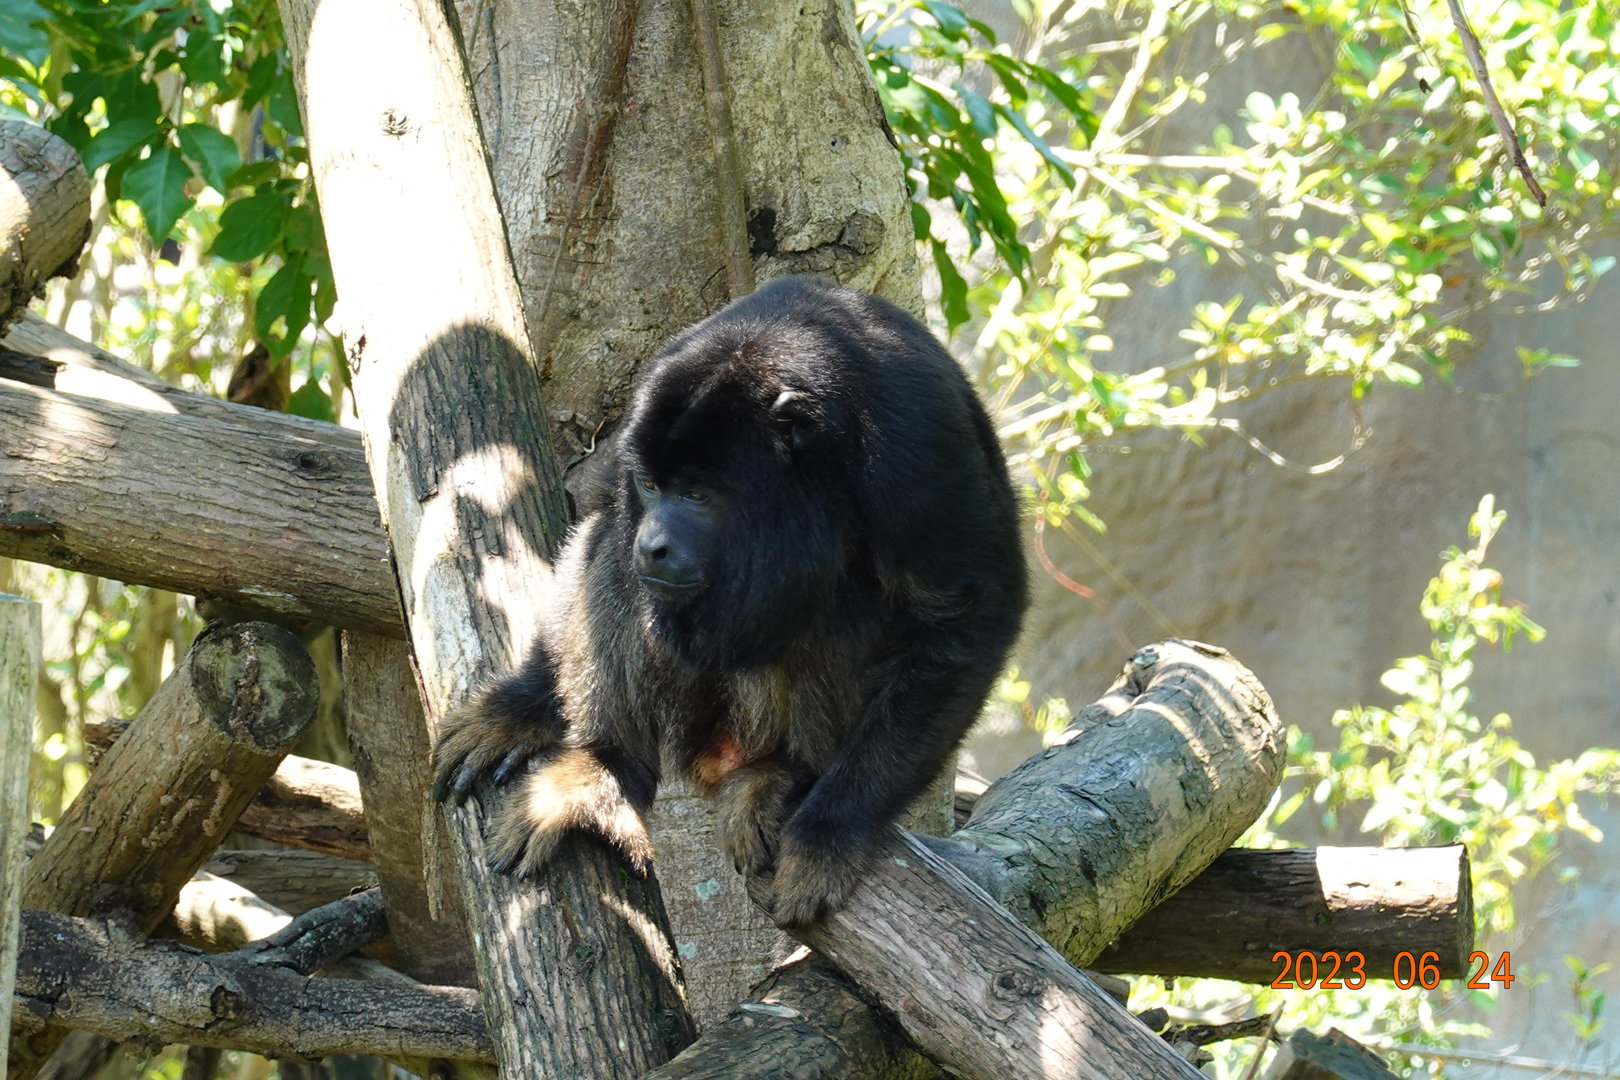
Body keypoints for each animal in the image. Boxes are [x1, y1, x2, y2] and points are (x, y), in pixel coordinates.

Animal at [433, 275, 1027, 927]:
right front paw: (523, 703)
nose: (654, 543)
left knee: (838, 604)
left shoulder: (915, 448)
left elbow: (966, 620)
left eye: (697, 495)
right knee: (615, 556)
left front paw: (830, 832)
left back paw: (785, 773)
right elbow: (599, 517)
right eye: (652, 486)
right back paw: (603, 768)